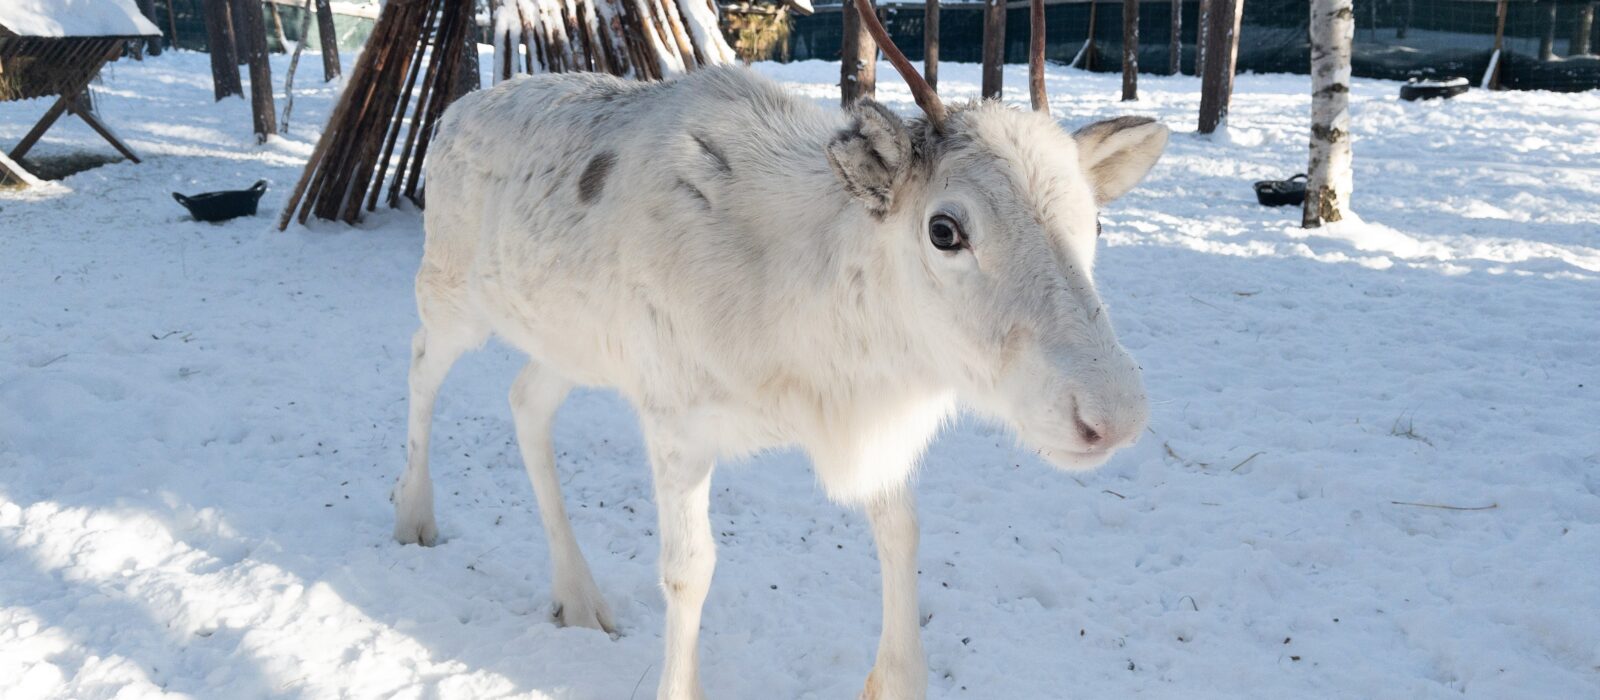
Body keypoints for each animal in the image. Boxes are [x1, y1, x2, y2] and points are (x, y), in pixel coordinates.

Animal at [392, 0, 1168, 696]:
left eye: (1096, 223)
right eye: (945, 229)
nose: (1113, 414)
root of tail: (452, 114)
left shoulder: (872, 427)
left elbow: (903, 532)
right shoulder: (676, 419)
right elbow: (689, 569)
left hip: (571, 345)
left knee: (525, 399)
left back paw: (577, 595)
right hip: (453, 294)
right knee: (423, 363)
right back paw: (413, 515)